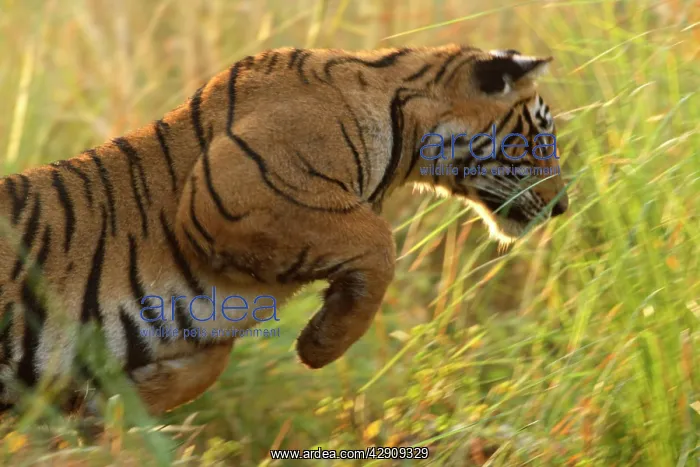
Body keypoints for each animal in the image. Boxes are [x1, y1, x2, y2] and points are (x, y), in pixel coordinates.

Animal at [0, 44, 568, 416]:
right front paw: (321, 345)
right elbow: (379, 243)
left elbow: (209, 358)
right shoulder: (233, 192)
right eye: (541, 135)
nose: (563, 207)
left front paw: (122, 401)